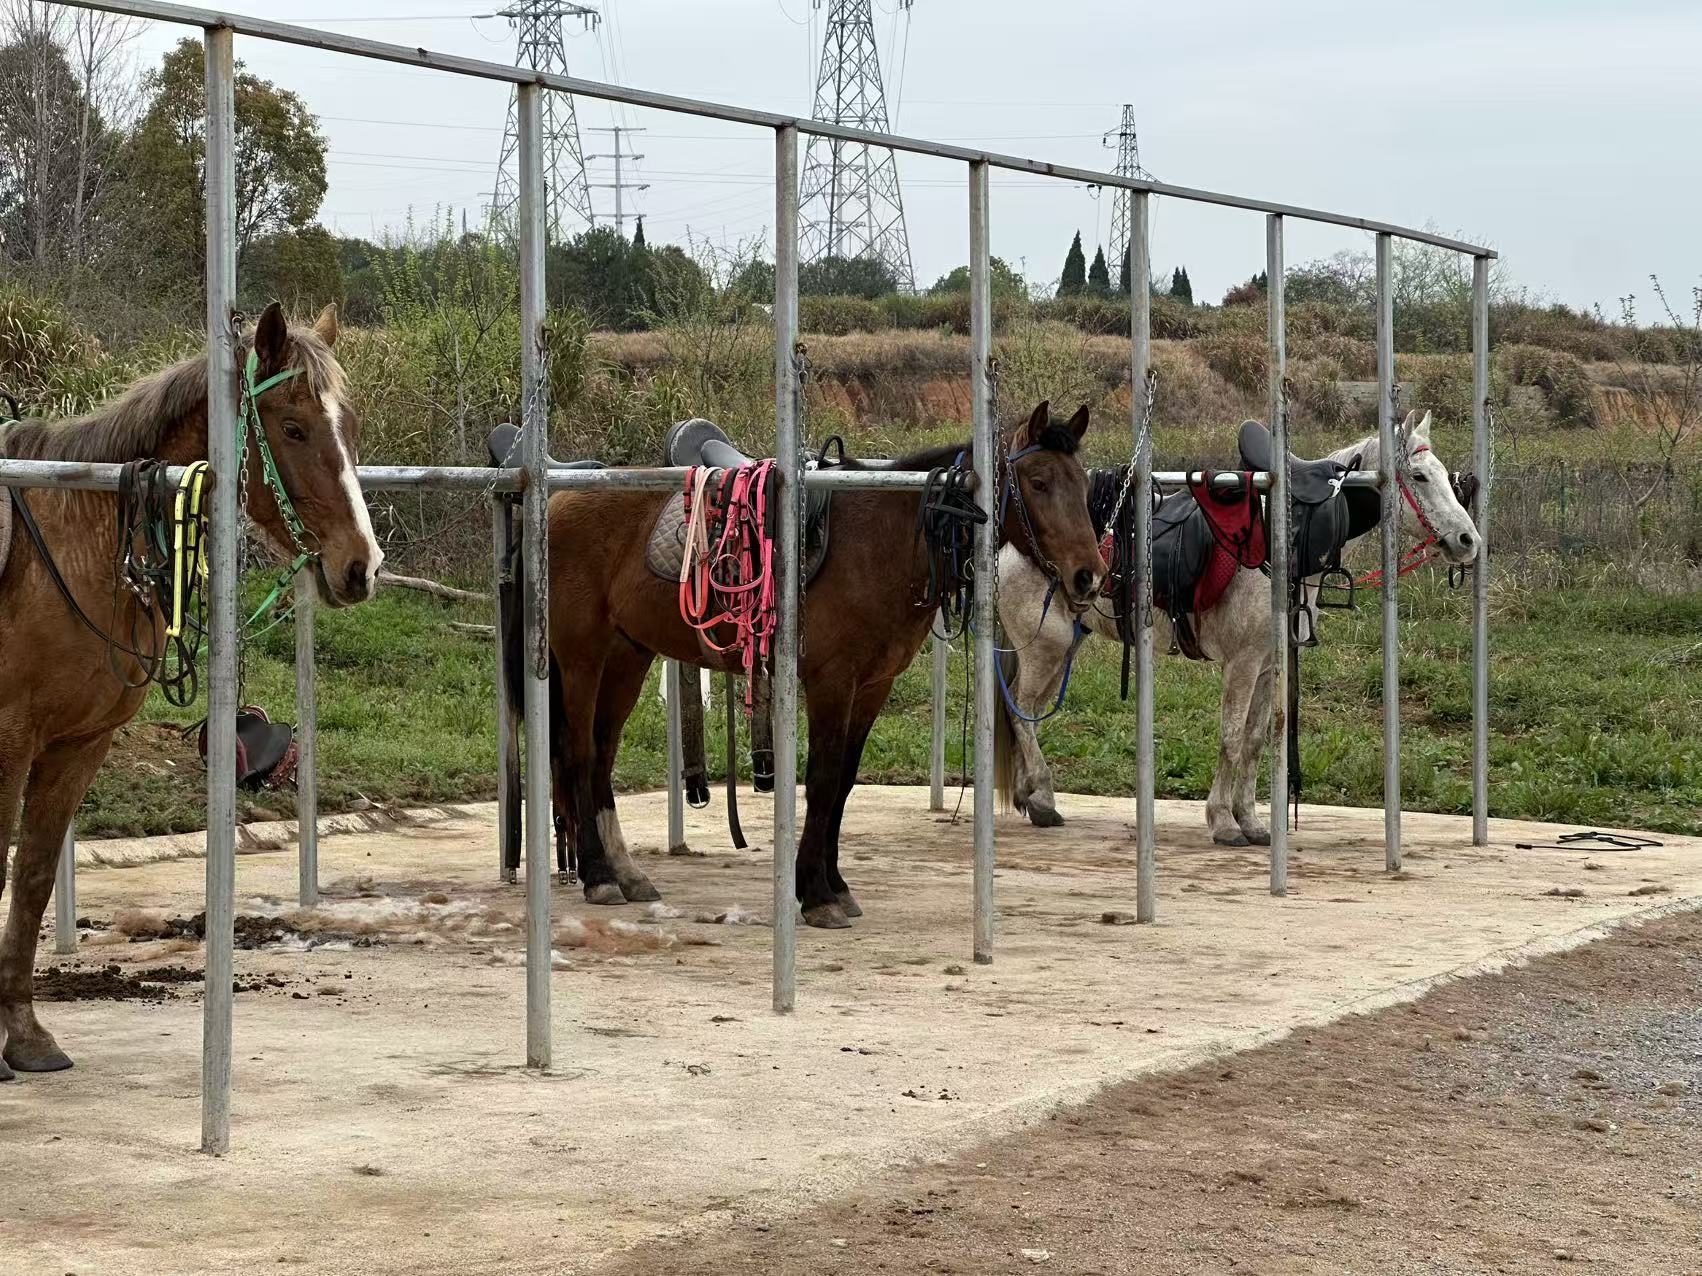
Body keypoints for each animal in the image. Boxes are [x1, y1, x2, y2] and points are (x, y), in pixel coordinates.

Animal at [0, 302, 382, 1078]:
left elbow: (32, 876)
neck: (73, 540)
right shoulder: (10, 737)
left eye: (350, 427)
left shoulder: (78, 744)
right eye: (293, 427)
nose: (362, 566)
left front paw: (25, 1036)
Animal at [513, 401, 1106, 930]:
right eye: (1038, 481)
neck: (884, 541)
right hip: (582, 657)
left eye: (1081, 483)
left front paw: (835, 886)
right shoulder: (831, 684)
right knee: (578, 754)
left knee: (600, 757)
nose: (1088, 575)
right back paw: (597, 876)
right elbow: (820, 781)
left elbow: (842, 781)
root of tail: (557, 502)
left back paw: (627, 873)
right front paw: (816, 896)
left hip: (627, 658)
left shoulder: (872, 687)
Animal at [994, 410, 1479, 845]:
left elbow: (1254, 741)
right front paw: (1223, 823)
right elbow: (1230, 737)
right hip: (1046, 644)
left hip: (1063, 646)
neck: (1288, 543)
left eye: (1444, 476)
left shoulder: (1267, 665)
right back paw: (1042, 799)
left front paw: (1252, 821)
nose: (1468, 541)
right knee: (1020, 708)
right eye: (1419, 476)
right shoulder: (1242, 663)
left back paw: (1029, 796)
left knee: (1027, 710)